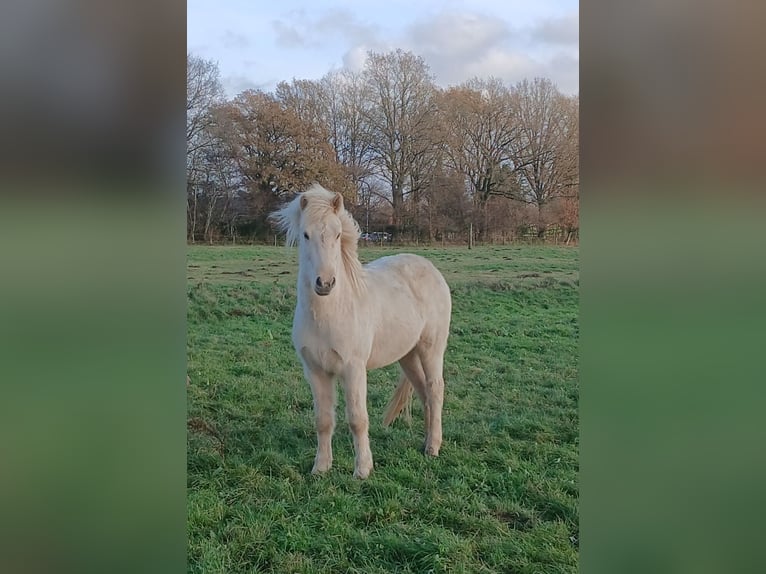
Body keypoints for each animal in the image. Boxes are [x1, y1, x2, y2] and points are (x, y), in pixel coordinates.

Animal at [270, 183, 452, 479]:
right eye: (306, 235)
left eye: (337, 234)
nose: (325, 283)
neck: (330, 313)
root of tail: (430, 268)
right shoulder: (316, 371)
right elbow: (323, 420)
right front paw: (320, 468)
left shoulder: (353, 368)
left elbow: (357, 419)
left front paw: (363, 470)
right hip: (407, 355)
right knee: (424, 393)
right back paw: (426, 444)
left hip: (431, 349)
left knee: (435, 390)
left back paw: (434, 448)